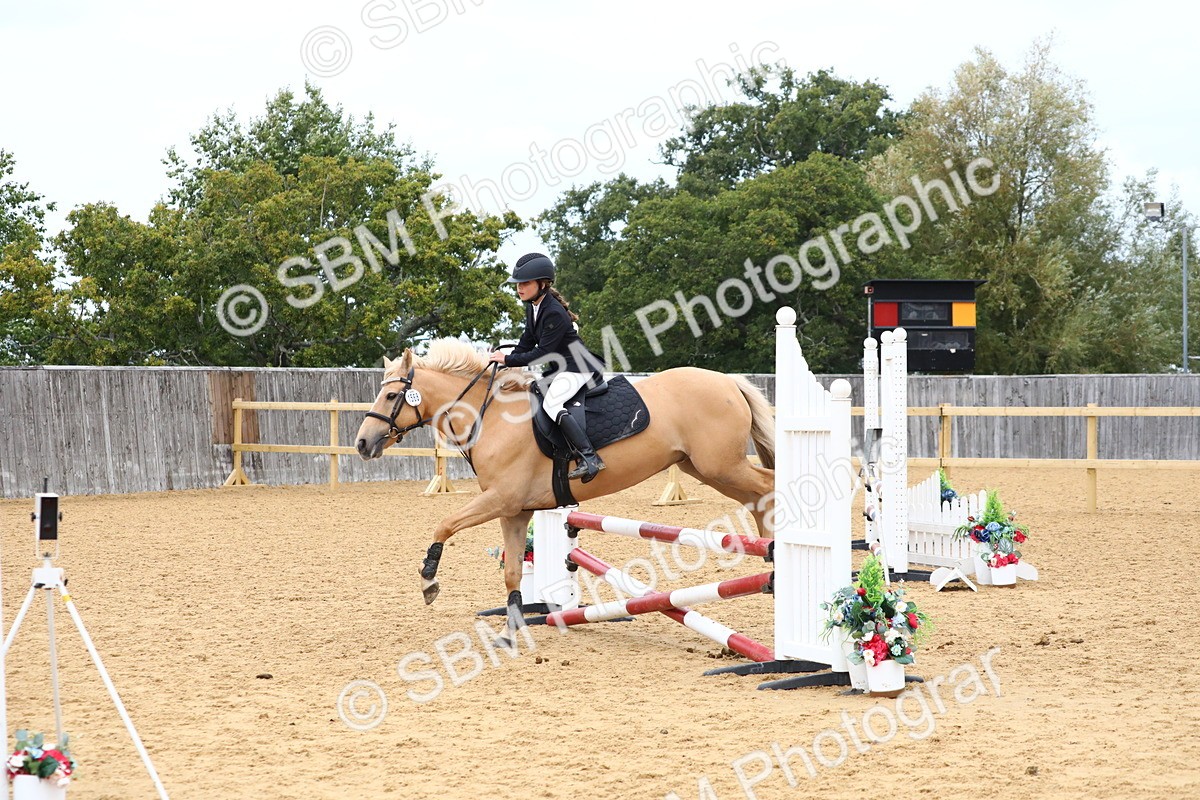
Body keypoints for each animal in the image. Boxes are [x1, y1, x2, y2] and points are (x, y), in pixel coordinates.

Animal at [355, 339, 775, 636]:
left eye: (390, 395)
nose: (362, 443)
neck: (492, 417)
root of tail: (727, 380)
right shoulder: (514, 510)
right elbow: (511, 571)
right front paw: (513, 629)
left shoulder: (499, 499)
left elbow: (444, 524)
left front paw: (429, 580)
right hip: (706, 468)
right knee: (756, 497)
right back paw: (769, 553)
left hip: (720, 465)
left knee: (768, 485)